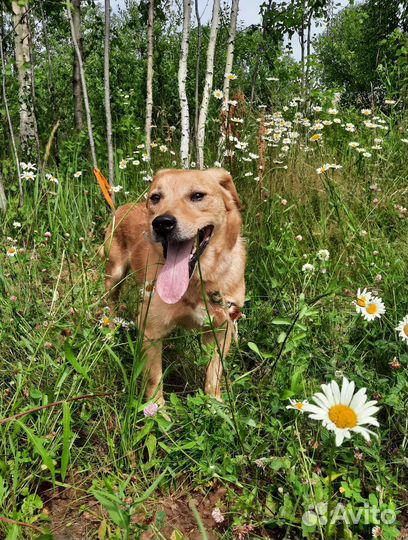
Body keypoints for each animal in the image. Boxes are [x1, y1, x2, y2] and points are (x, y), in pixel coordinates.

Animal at [103, 169, 247, 404]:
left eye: (197, 196)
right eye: (156, 197)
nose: (162, 223)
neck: (197, 282)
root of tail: (123, 207)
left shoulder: (222, 329)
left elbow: (214, 373)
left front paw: (214, 404)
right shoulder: (151, 332)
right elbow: (155, 379)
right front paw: (155, 408)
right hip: (114, 275)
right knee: (111, 303)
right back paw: (111, 329)